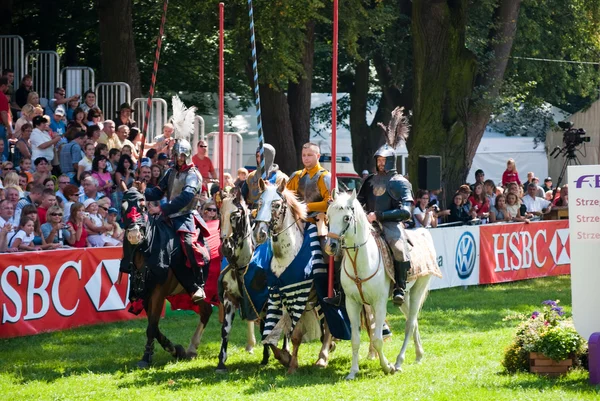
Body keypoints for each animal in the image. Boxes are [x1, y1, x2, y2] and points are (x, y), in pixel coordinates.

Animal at [120, 189, 214, 368]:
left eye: (143, 207)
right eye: (123, 208)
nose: (134, 235)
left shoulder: (158, 293)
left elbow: (152, 327)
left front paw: (146, 357)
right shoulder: (146, 294)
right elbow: (154, 325)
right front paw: (174, 349)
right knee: (206, 311)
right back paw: (191, 349)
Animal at [328, 189, 436, 380]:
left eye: (346, 218)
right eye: (328, 216)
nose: (331, 245)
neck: (361, 261)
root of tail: (424, 233)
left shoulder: (379, 303)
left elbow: (378, 339)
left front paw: (387, 367)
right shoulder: (352, 303)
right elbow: (355, 339)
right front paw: (353, 372)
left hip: (418, 289)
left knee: (410, 323)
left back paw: (399, 362)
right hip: (405, 297)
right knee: (413, 320)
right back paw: (418, 355)